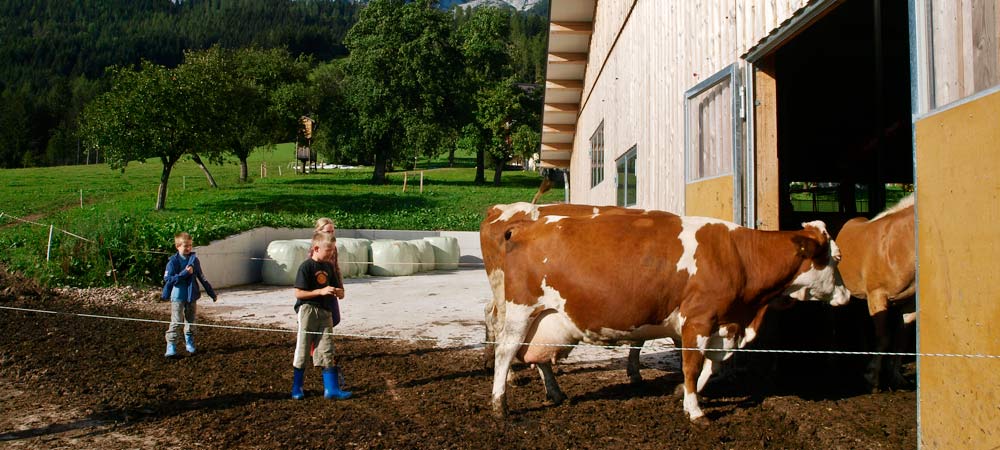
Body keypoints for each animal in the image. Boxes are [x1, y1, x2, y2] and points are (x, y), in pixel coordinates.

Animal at [480, 202, 652, 382]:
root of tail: (498, 209)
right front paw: (634, 371)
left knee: (489, 312)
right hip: (507, 293)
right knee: (501, 327)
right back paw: (510, 374)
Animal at [836, 192, 916, 390]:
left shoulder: (909, 304)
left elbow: (901, 338)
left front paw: (896, 377)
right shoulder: (877, 297)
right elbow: (883, 337)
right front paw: (872, 378)